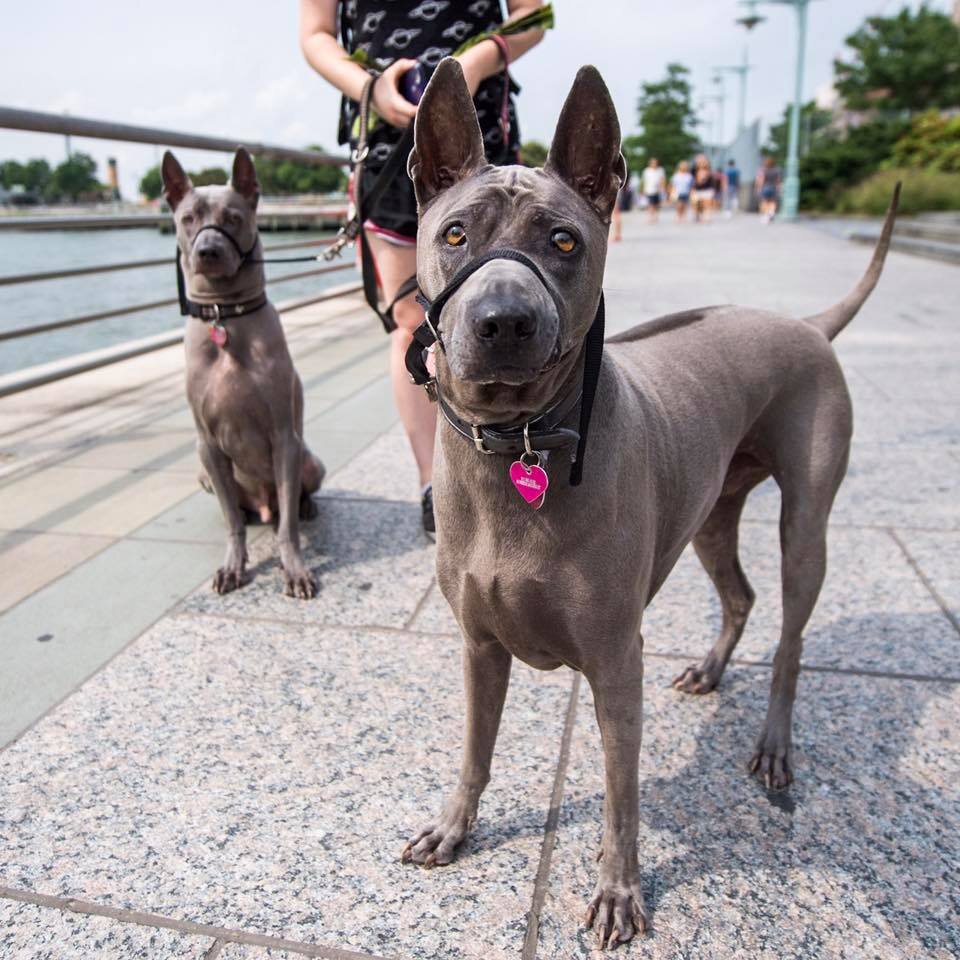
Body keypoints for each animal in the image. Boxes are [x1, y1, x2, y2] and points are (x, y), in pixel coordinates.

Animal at [163, 148, 324, 600]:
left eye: (233, 217)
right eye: (188, 218)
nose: (209, 251)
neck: (226, 316)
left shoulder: (284, 438)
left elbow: (287, 528)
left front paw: (295, 570)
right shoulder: (207, 446)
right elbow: (233, 524)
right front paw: (233, 566)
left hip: (310, 461)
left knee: (290, 504)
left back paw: (304, 506)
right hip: (203, 470)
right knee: (238, 509)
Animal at [402, 62, 896, 944]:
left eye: (564, 241)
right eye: (455, 234)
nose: (503, 321)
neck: (518, 446)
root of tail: (808, 324)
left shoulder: (613, 662)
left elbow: (622, 794)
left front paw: (618, 892)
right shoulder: (479, 648)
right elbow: (474, 753)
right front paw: (454, 828)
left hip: (805, 523)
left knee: (790, 635)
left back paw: (774, 747)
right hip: (711, 514)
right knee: (739, 595)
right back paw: (708, 668)